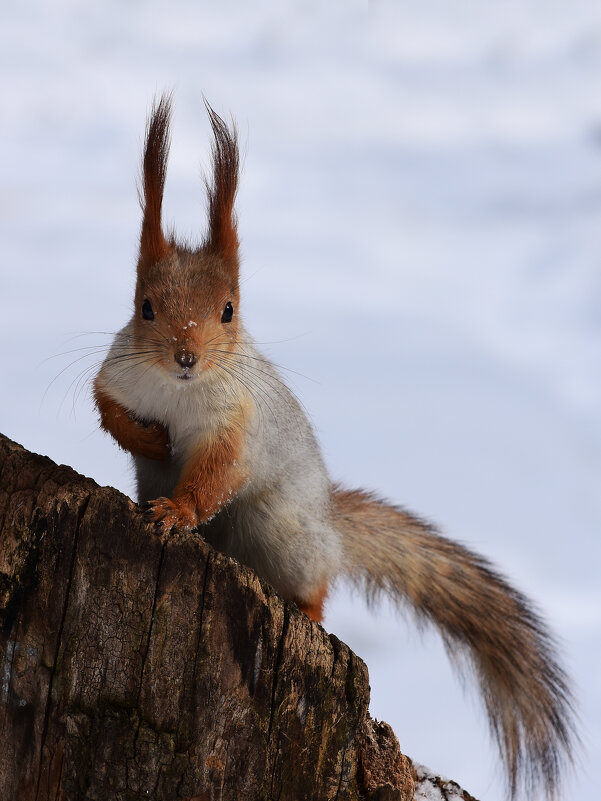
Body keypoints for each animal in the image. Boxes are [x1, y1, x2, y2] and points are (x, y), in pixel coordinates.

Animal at [95, 97, 576, 796]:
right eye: (146, 306)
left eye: (229, 310)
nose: (186, 358)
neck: (181, 393)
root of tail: (328, 524)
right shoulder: (117, 375)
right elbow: (107, 409)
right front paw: (147, 440)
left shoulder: (239, 423)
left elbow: (217, 472)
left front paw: (177, 510)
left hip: (283, 536)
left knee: (315, 589)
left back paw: (305, 607)